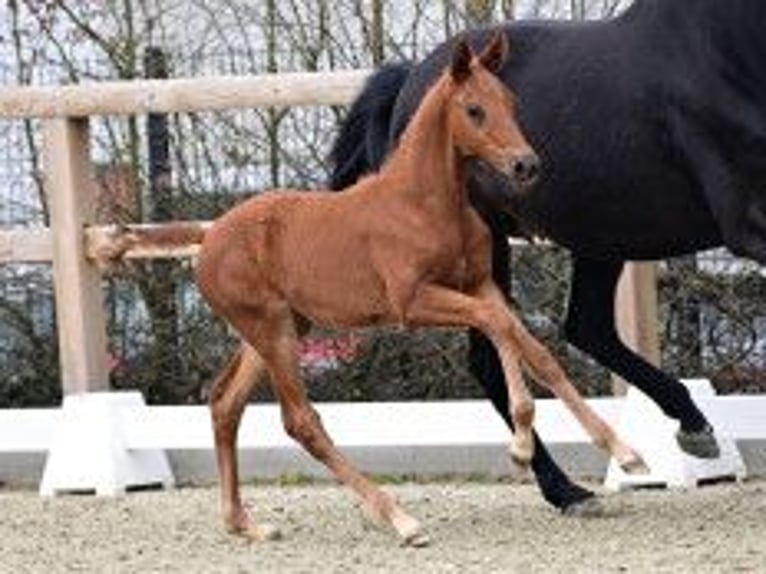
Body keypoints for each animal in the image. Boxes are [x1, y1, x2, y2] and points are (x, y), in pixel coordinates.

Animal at [329, 0, 766, 517]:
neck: (729, 47)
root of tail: (410, 82)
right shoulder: (749, 222)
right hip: (491, 243)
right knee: (495, 356)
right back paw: (566, 489)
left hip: (602, 232)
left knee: (586, 327)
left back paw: (687, 426)